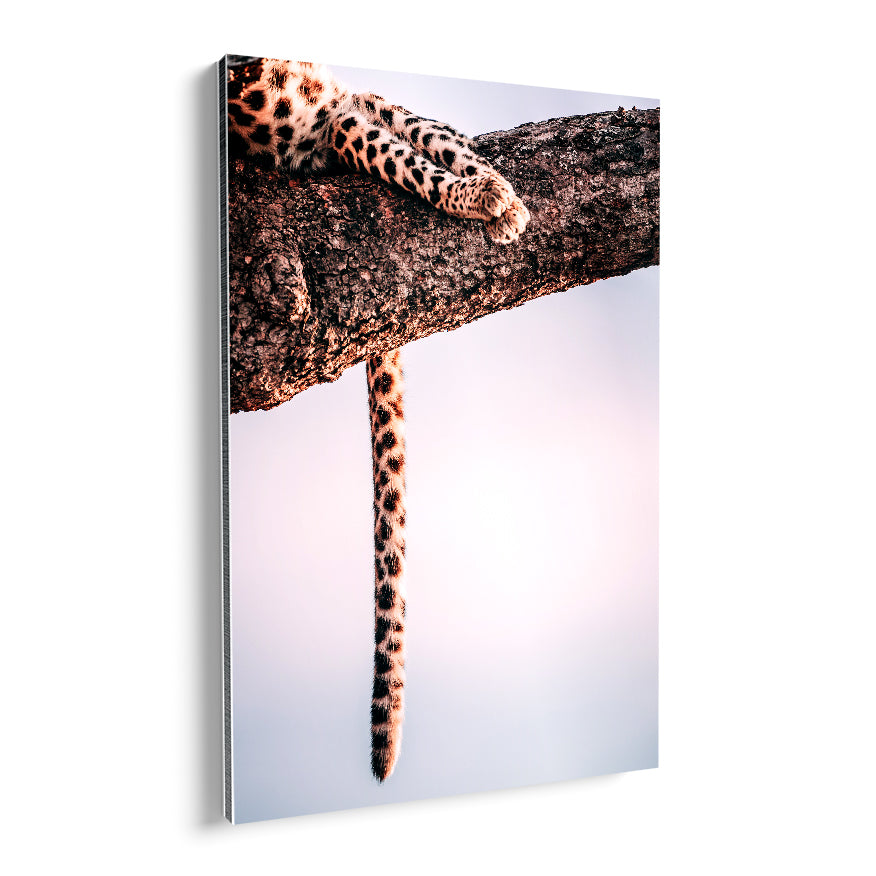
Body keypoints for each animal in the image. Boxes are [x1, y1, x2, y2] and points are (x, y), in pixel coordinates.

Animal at [226, 55, 530, 782]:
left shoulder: (337, 104)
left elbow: (421, 134)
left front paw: (492, 185)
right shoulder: (316, 129)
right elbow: (401, 157)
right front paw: (484, 198)